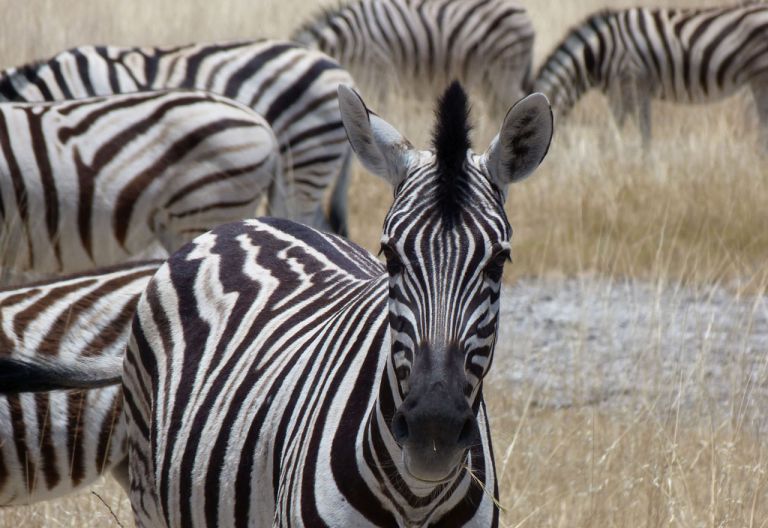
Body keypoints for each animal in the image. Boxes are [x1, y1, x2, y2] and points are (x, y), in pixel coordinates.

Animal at [533, 4, 768, 148]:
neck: (598, 52)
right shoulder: (638, 90)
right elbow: (642, 134)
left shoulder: (627, 86)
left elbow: (615, 134)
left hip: (760, 77)